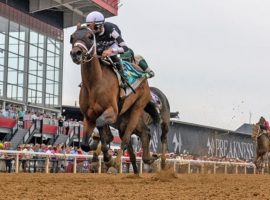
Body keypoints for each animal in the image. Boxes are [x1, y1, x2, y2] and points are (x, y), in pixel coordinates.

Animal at [69, 24, 156, 172]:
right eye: (72, 37)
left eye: (89, 37)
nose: (76, 53)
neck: (95, 83)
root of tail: (142, 73)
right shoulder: (88, 116)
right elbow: (86, 144)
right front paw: (97, 156)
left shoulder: (113, 112)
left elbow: (101, 126)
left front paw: (108, 159)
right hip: (124, 116)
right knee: (143, 133)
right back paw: (146, 159)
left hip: (137, 108)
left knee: (126, 138)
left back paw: (116, 163)